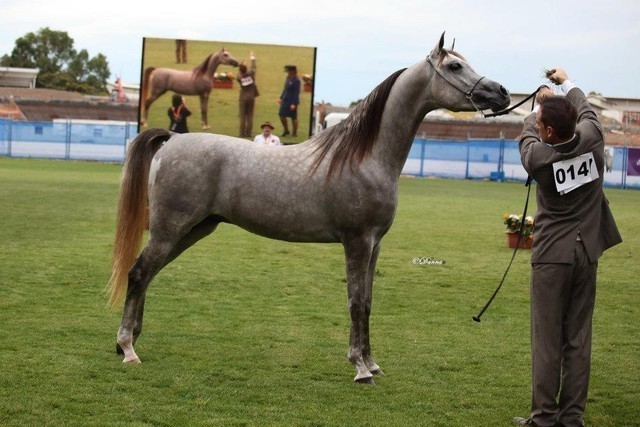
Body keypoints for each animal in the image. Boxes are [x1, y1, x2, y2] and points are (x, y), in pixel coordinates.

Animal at [109, 33, 510, 383]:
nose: (502, 93)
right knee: (139, 273)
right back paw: (128, 349)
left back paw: (129, 341)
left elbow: (367, 302)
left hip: (191, 230)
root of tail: (172, 139)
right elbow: (354, 302)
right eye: (456, 66)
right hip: (171, 229)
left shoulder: (375, 245)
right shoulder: (357, 242)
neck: (364, 156)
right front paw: (360, 368)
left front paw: (372, 363)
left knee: (148, 274)